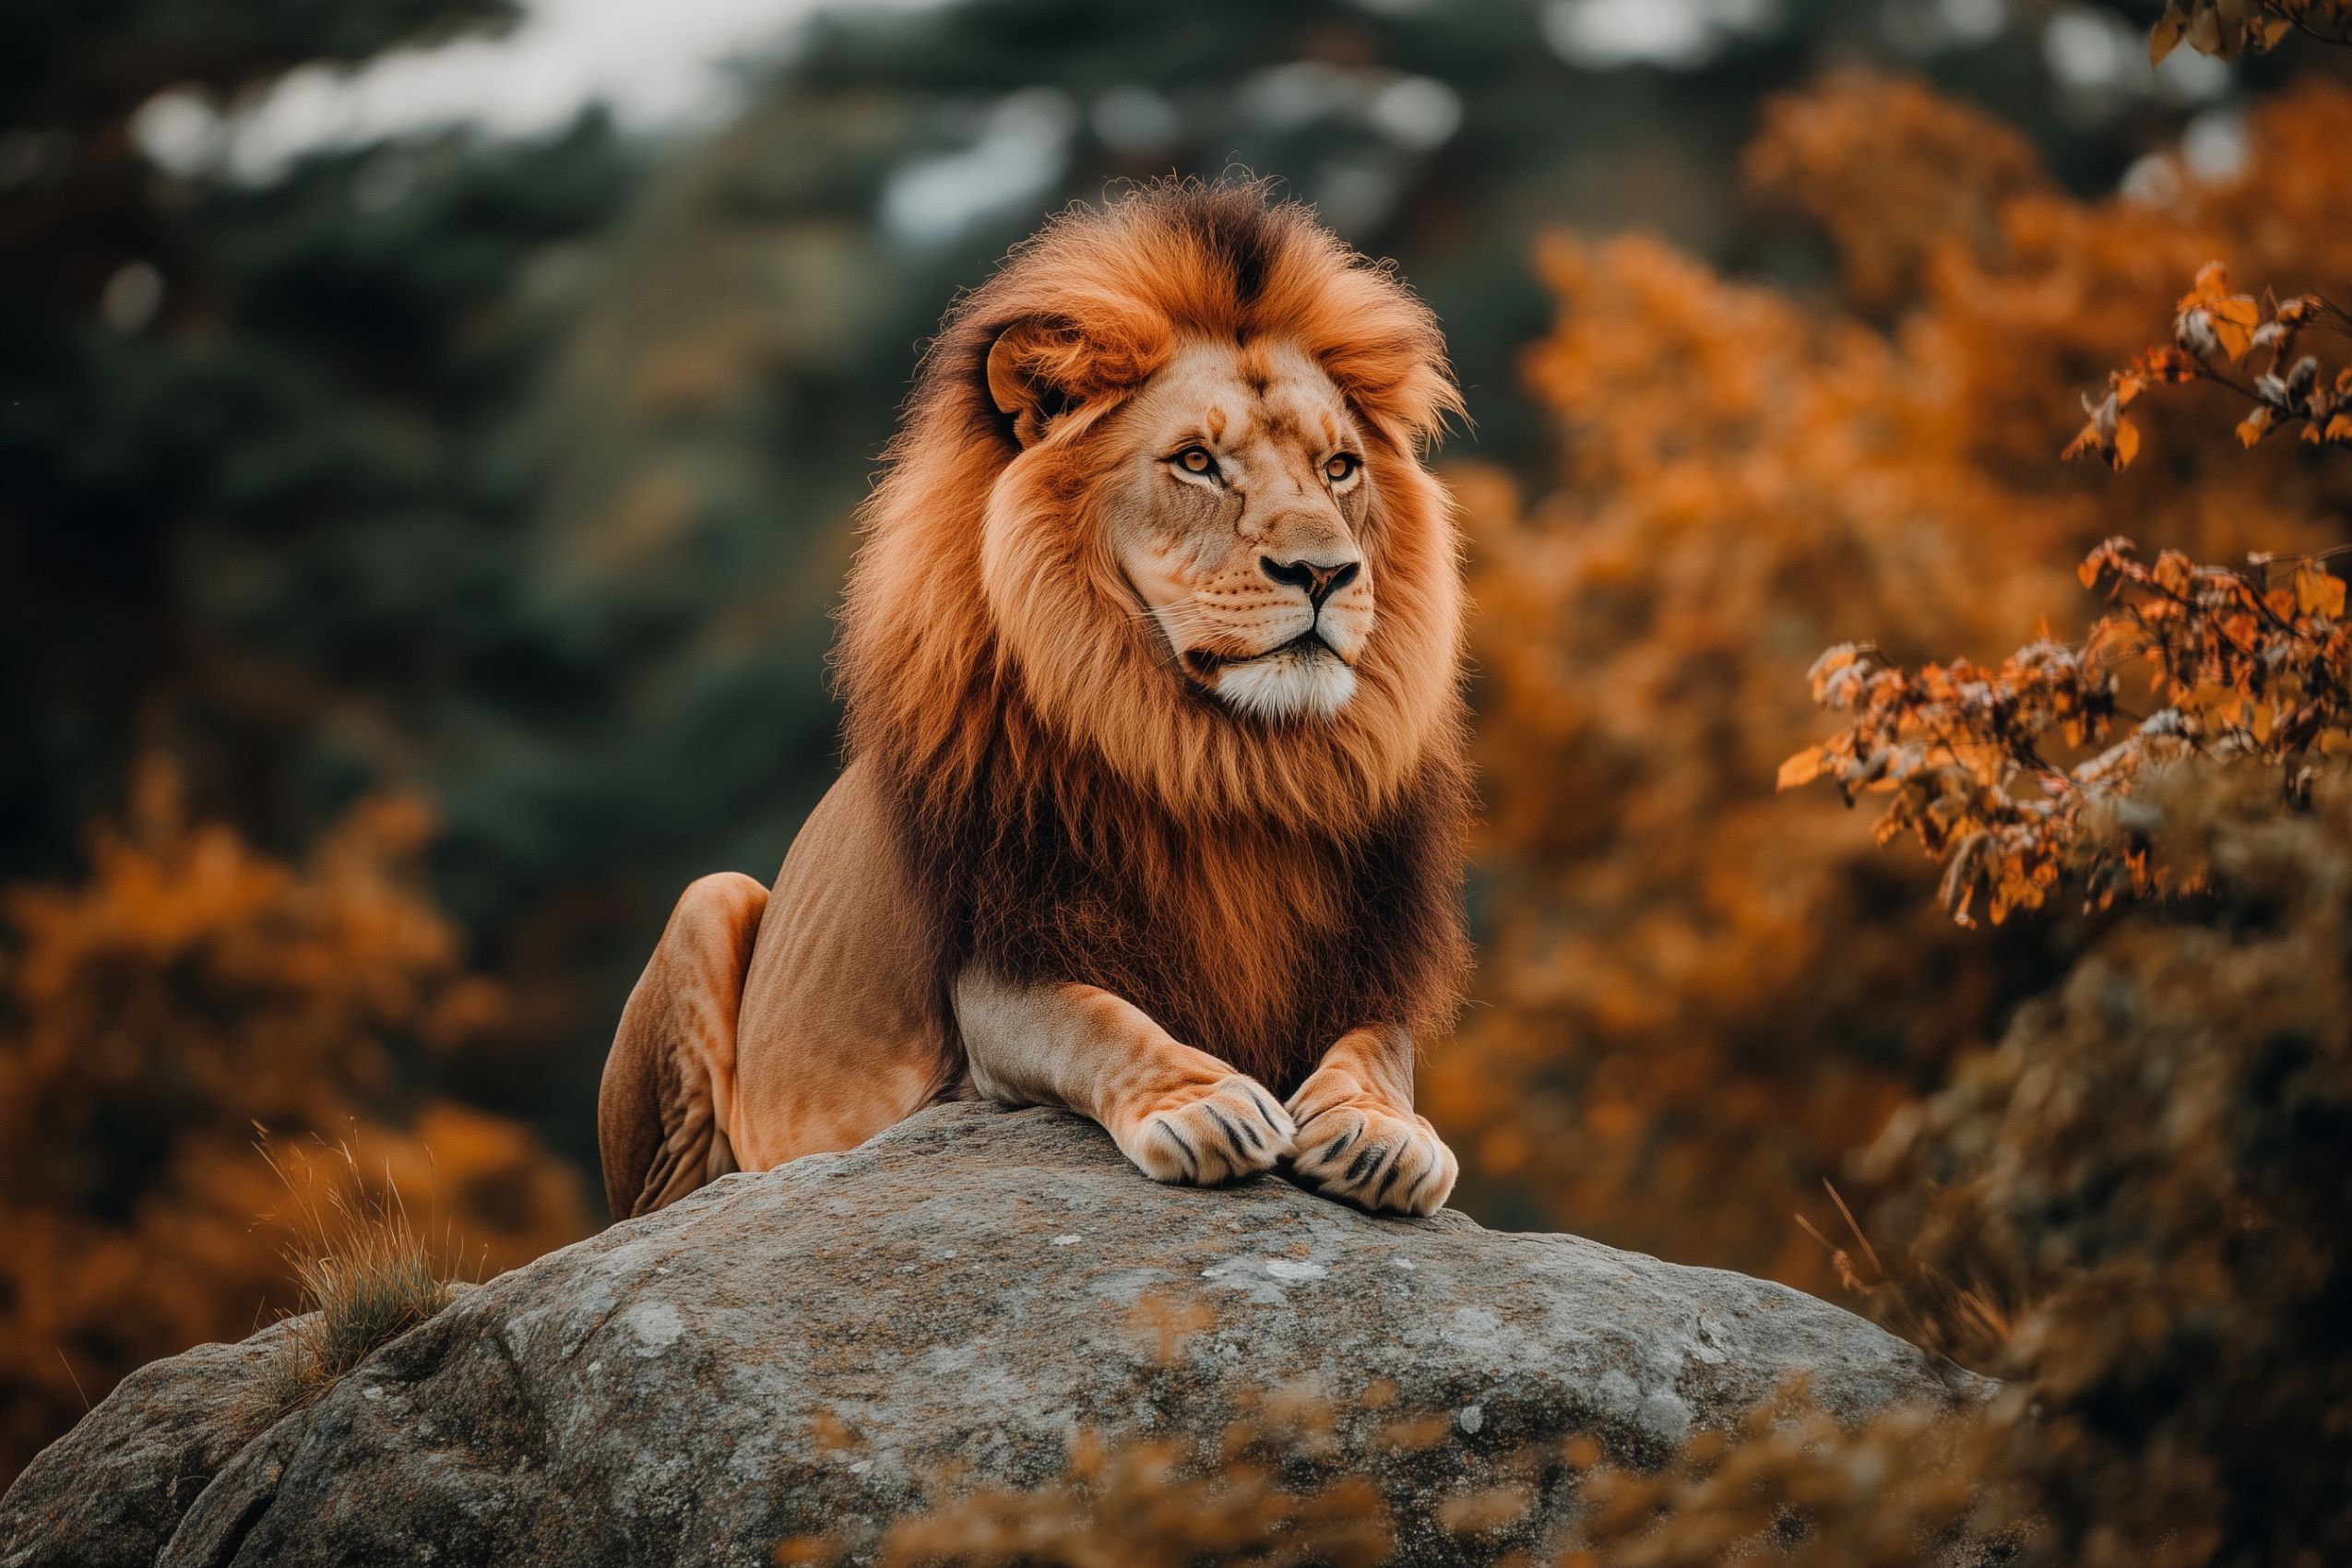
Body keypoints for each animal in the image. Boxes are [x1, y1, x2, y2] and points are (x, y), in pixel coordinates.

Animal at [598, 180, 1472, 1223]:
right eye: (1196, 462)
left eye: (1340, 467)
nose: (1328, 573)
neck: (1225, 756)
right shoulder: (1000, 970)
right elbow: (1100, 1022)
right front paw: (1203, 1105)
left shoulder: (1369, 963)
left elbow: (1381, 1051)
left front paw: (1382, 1131)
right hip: (708, 907)